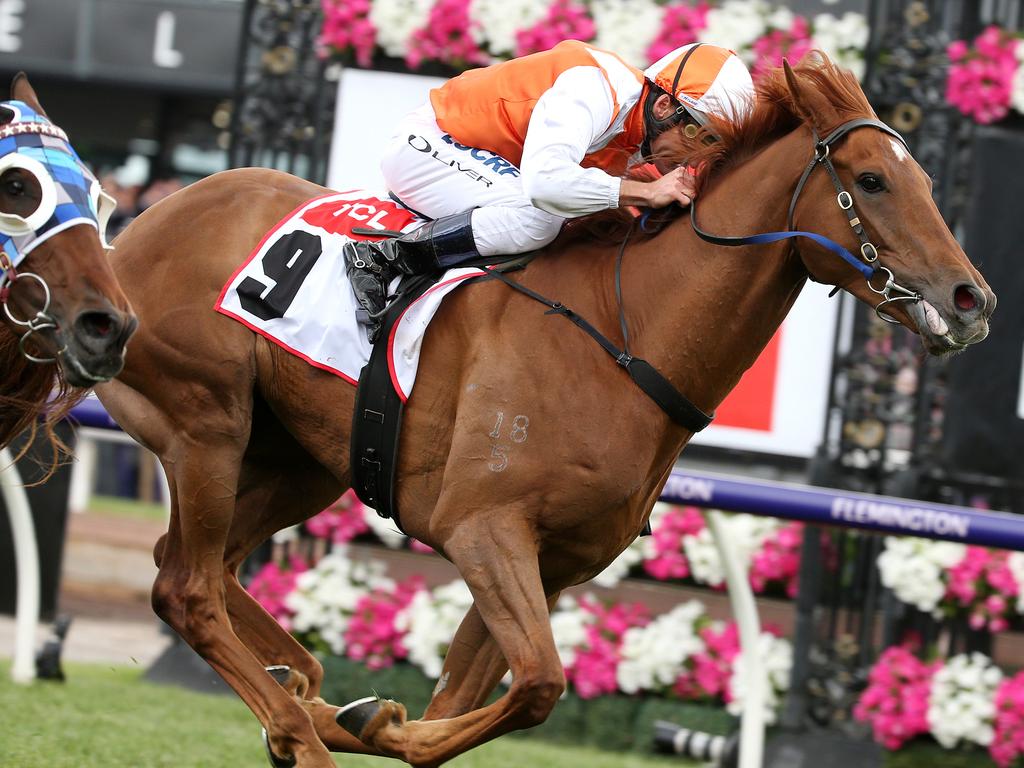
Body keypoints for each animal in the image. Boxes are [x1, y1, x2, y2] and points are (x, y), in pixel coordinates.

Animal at [96, 60, 991, 768]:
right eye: (872, 180)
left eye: (927, 182)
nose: (970, 298)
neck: (628, 337)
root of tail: (126, 235)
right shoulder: (483, 530)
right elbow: (538, 684)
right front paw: (374, 724)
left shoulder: (551, 561)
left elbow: (463, 702)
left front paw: (370, 716)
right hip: (206, 423)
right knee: (185, 587)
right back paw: (298, 727)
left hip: (303, 458)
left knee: (203, 563)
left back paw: (304, 694)